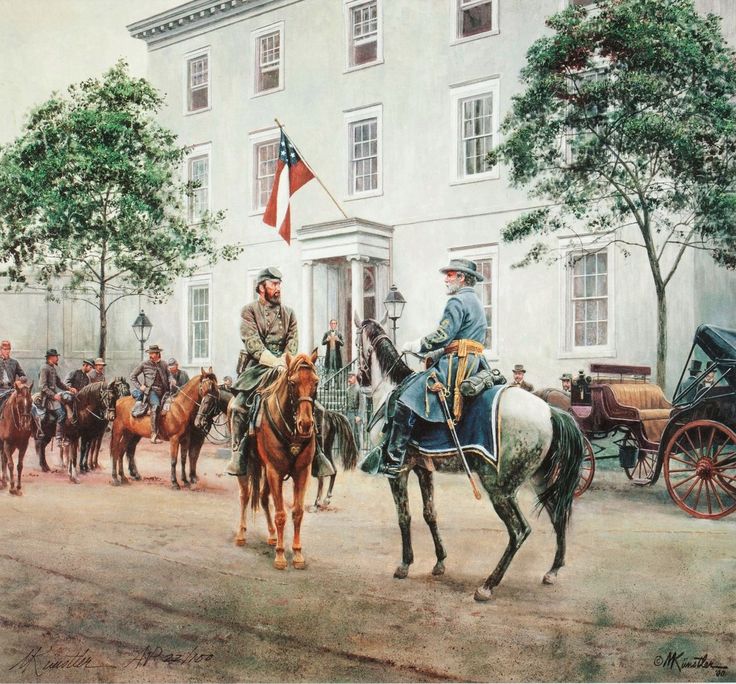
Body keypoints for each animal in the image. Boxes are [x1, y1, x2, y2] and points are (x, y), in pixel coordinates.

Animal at [234, 350, 318, 568]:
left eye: (316, 382)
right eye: (293, 383)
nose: (306, 424)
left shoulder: (302, 472)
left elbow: (297, 512)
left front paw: (297, 553)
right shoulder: (275, 471)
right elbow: (281, 514)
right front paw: (280, 556)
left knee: (263, 498)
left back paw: (272, 535)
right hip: (249, 467)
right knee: (245, 495)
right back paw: (241, 534)